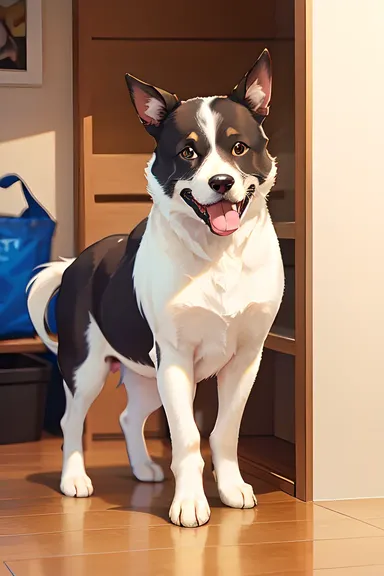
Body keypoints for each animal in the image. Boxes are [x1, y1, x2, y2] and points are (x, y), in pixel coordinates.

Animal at [27, 48, 284, 528]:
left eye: (239, 148)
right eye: (188, 152)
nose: (221, 183)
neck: (217, 254)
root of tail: (75, 263)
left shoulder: (245, 359)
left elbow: (225, 431)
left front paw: (231, 488)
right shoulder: (176, 359)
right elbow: (186, 437)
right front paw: (190, 505)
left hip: (147, 374)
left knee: (130, 416)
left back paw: (144, 468)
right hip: (87, 368)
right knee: (72, 421)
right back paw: (74, 479)